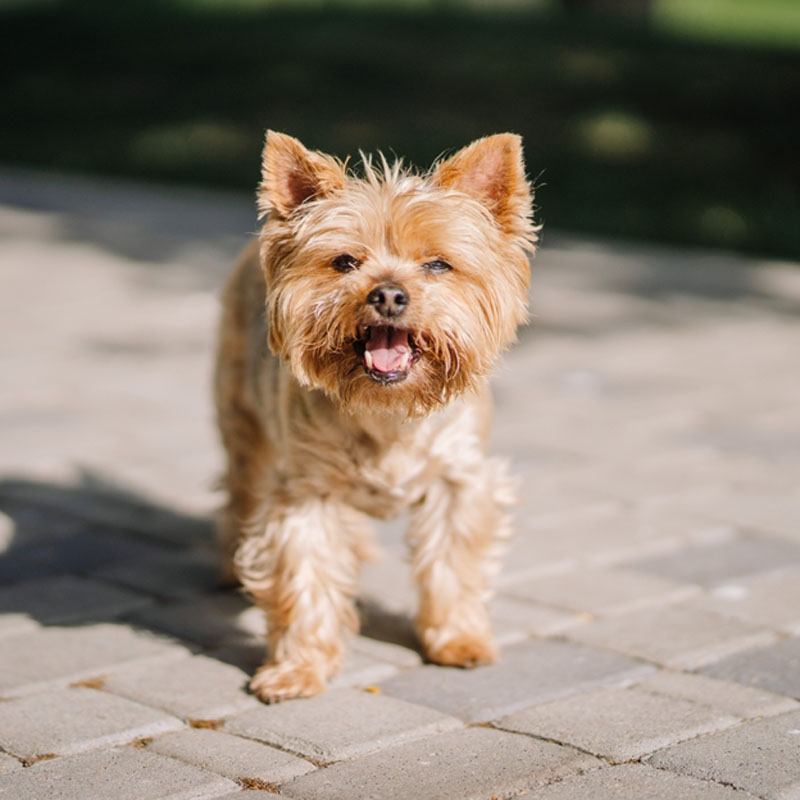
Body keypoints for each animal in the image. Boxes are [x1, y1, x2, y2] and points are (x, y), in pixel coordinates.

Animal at [214, 131, 536, 700]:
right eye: (345, 262)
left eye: (438, 265)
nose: (387, 293)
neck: (389, 411)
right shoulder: (305, 492)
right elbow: (306, 576)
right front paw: (298, 669)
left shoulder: (460, 480)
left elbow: (454, 562)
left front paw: (459, 639)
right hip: (242, 418)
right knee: (241, 483)